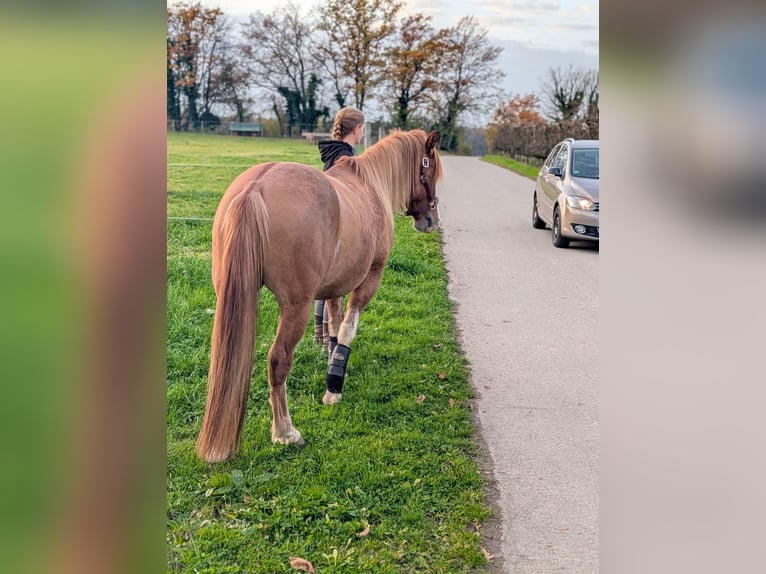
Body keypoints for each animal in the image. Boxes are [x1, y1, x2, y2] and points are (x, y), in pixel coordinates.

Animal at [196, 130, 442, 463]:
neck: (369, 186)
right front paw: (333, 388)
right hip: (295, 308)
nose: (431, 219)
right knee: (278, 360)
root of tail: (255, 187)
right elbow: (348, 329)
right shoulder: (368, 281)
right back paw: (286, 431)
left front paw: (331, 365)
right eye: (430, 170)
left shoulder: (334, 288)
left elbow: (333, 327)